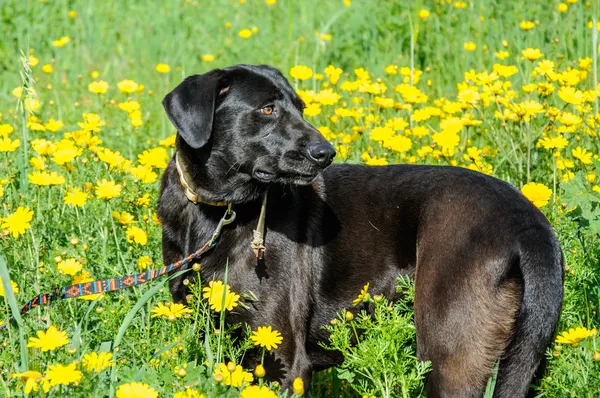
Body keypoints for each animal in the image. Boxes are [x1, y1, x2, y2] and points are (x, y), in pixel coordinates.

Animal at [158, 63, 564, 396]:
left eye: (300, 108)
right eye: (267, 109)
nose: (326, 152)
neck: (218, 212)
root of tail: (529, 224)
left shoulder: (285, 359)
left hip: (450, 356)